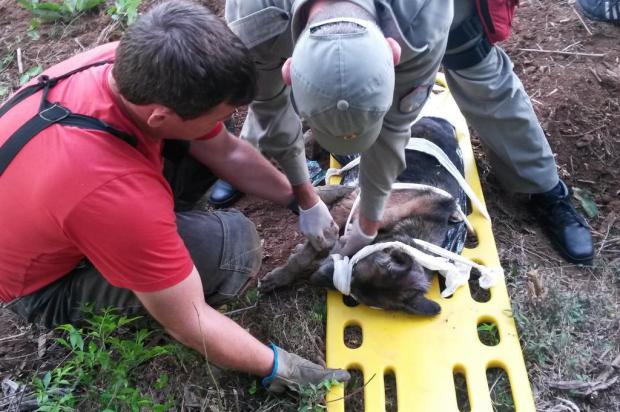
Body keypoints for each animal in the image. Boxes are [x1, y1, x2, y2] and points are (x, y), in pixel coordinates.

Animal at [260, 116, 470, 316]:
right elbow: (302, 257)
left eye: (354, 294)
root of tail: (442, 121)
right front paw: (281, 276)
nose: (315, 279)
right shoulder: (346, 211)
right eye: (354, 271)